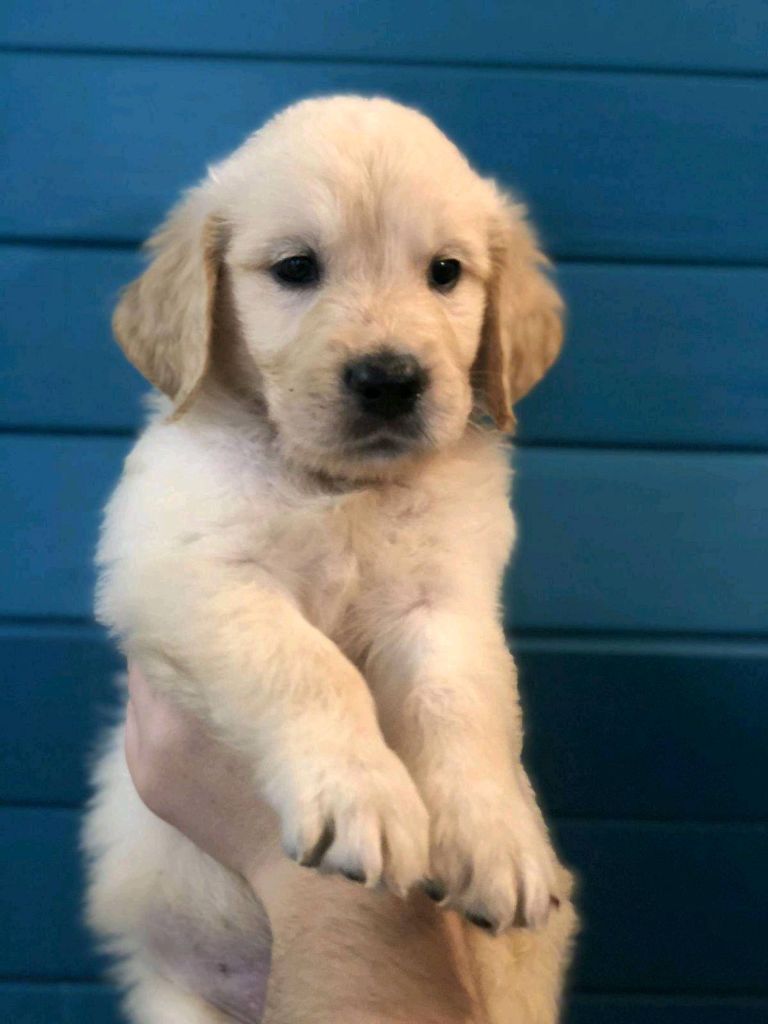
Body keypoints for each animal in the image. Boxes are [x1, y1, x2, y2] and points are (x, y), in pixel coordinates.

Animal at [83, 97, 577, 1024]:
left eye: (446, 272)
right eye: (296, 268)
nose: (388, 380)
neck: (340, 486)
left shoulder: (447, 602)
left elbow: (463, 704)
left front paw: (497, 837)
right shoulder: (188, 572)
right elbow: (307, 665)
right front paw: (361, 795)